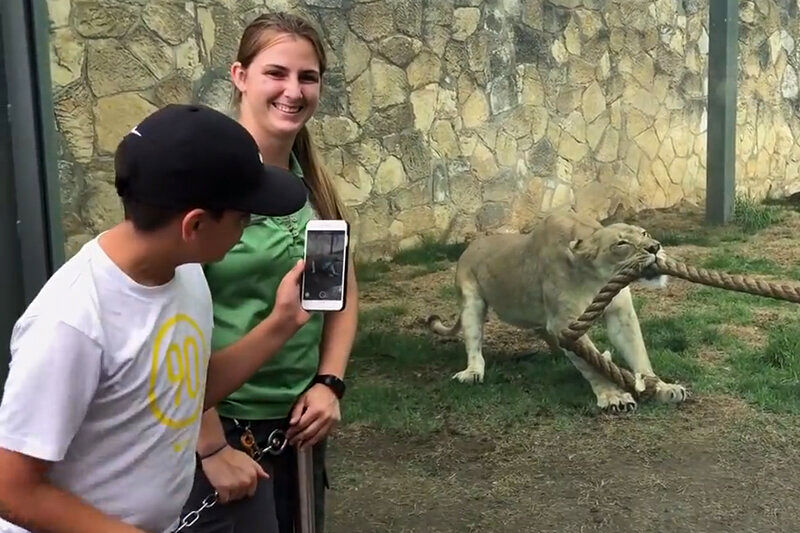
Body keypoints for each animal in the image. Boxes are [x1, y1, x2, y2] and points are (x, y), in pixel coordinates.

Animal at [432, 209, 688, 412]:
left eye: (644, 234)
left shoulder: (621, 315)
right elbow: (591, 364)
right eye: (621, 244)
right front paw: (614, 396)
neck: (597, 278)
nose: (655, 247)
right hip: (471, 301)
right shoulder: (564, 322)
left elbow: (638, 354)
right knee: (474, 342)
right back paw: (473, 373)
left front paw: (664, 388)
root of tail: (470, 246)